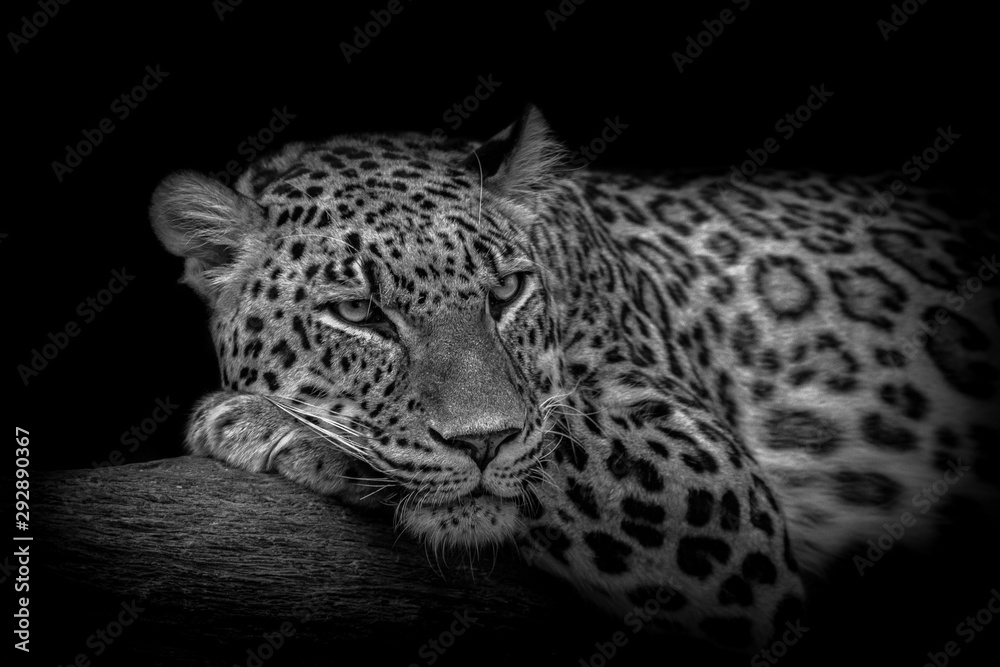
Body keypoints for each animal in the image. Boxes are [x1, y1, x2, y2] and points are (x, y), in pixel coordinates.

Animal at [150, 104, 1000, 653]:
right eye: (357, 312)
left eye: (505, 292)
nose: (482, 442)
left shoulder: (714, 483)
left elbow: (563, 436)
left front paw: (271, 425)